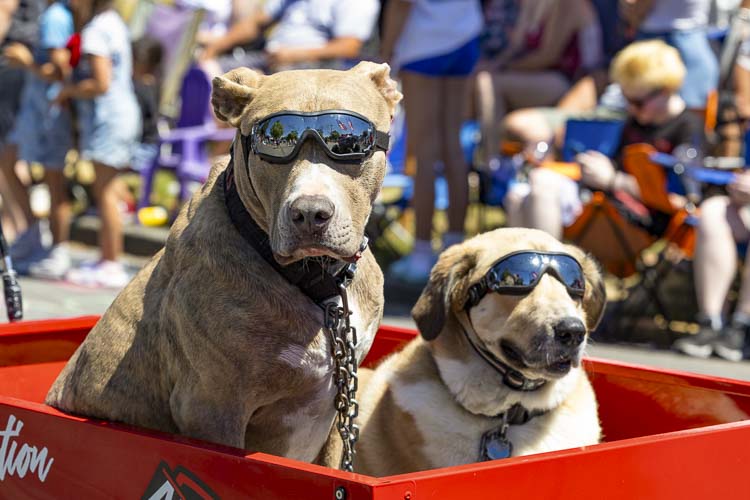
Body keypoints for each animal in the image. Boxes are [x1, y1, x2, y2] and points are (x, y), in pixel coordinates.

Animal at [47, 62, 406, 464]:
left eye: (349, 144)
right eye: (273, 145)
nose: (310, 213)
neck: (316, 280)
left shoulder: (343, 397)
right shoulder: (212, 408)